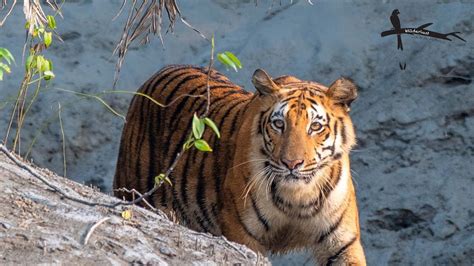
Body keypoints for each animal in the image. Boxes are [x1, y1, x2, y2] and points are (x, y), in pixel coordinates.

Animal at [114, 65, 366, 266]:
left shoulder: (342, 244)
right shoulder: (243, 235)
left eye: (315, 126)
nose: (291, 163)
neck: (296, 197)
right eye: (278, 124)